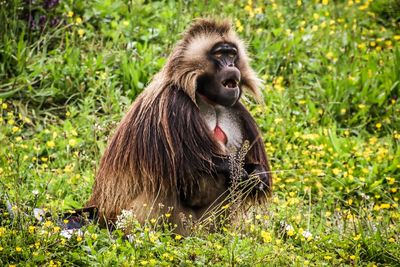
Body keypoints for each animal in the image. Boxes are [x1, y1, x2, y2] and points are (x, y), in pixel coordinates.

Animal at [84, 18, 272, 236]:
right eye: (219, 54)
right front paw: (233, 167)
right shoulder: (172, 105)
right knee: (161, 178)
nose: (232, 65)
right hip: (129, 218)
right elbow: (185, 170)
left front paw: (257, 173)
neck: (206, 99)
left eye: (232, 54)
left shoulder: (236, 111)